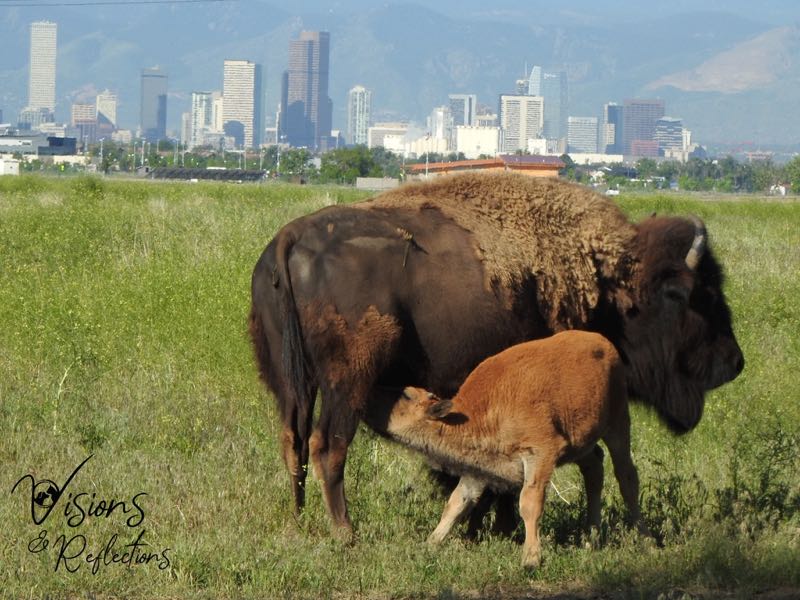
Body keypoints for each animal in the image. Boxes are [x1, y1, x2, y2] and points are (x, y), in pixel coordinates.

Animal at [250, 171, 744, 532]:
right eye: (687, 294)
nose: (733, 362)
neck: (607, 279)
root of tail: (289, 239)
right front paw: (499, 528)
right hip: (347, 381)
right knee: (328, 445)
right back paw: (345, 533)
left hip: (291, 384)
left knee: (293, 441)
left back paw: (299, 522)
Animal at [378, 328, 648, 568]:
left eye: (407, 395)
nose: (378, 394)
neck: (471, 415)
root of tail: (603, 341)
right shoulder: (479, 467)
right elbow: (457, 503)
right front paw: (430, 544)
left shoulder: (539, 454)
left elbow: (529, 502)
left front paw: (531, 559)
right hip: (581, 443)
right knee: (594, 470)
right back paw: (591, 537)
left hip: (618, 425)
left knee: (626, 477)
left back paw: (642, 536)